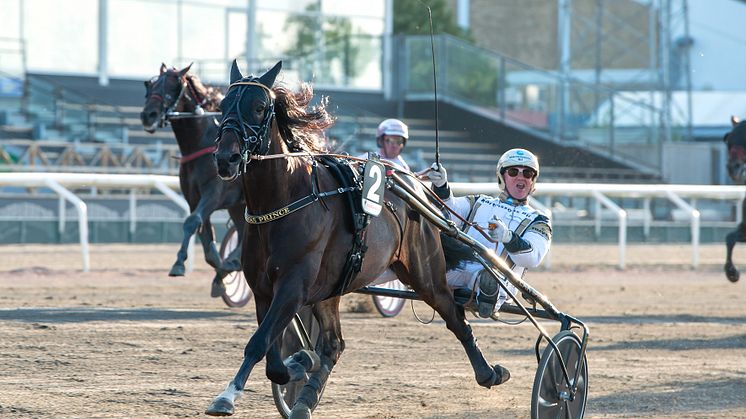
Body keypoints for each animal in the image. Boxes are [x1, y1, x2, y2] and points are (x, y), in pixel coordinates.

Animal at [140, 65, 244, 296]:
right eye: (150, 84)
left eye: (173, 85)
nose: (147, 115)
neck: (200, 144)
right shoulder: (194, 198)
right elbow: (206, 239)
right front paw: (221, 274)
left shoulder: (214, 193)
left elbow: (192, 221)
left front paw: (179, 264)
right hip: (238, 205)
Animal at [202, 60, 506, 418]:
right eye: (222, 106)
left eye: (260, 107)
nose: (226, 158)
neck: (283, 202)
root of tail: (412, 185)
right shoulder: (264, 289)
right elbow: (273, 354)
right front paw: (298, 363)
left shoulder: (293, 286)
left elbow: (259, 343)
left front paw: (227, 396)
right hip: (331, 288)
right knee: (334, 344)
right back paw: (305, 400)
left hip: (425, 273)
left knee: (455, 317)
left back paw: (489, 372)